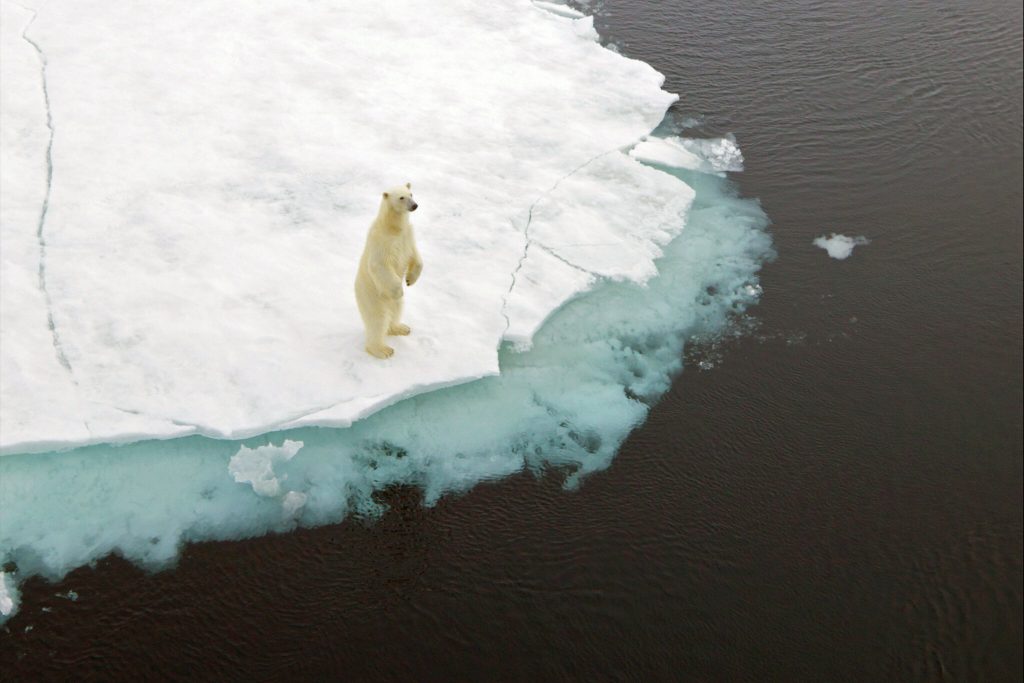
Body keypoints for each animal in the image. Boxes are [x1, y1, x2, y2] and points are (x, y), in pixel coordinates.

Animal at [354, 184, 421, 360]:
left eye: (411, 194)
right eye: (401, 197)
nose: (414, 205)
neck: (393, 228)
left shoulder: (407, 236)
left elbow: (415, 256)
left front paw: (410, 280)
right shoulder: (382, 241)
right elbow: (379, 265)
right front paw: (400, 290)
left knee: (396, 310)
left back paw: (401, 328)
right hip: (372, 297)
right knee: (378, 320)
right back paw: (382, 350)